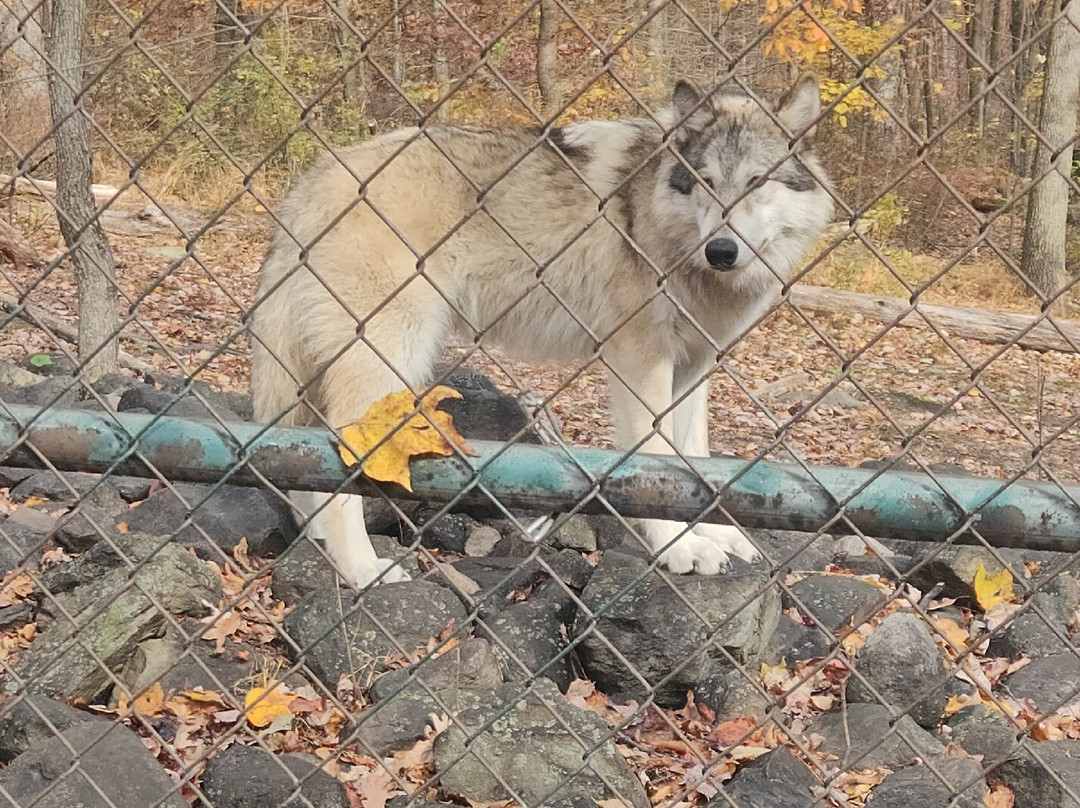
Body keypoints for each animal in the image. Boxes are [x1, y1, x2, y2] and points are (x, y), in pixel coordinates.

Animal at [250, 76, 833, 589]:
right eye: (706, 182)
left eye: (757, 182)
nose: (721, 250)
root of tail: (309, 182)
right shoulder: (641, 361)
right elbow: (656, 462)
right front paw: (679, 547)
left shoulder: (695, 365)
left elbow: (695, 459)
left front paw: (713, 535)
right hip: (391, 360)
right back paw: (361, 569)